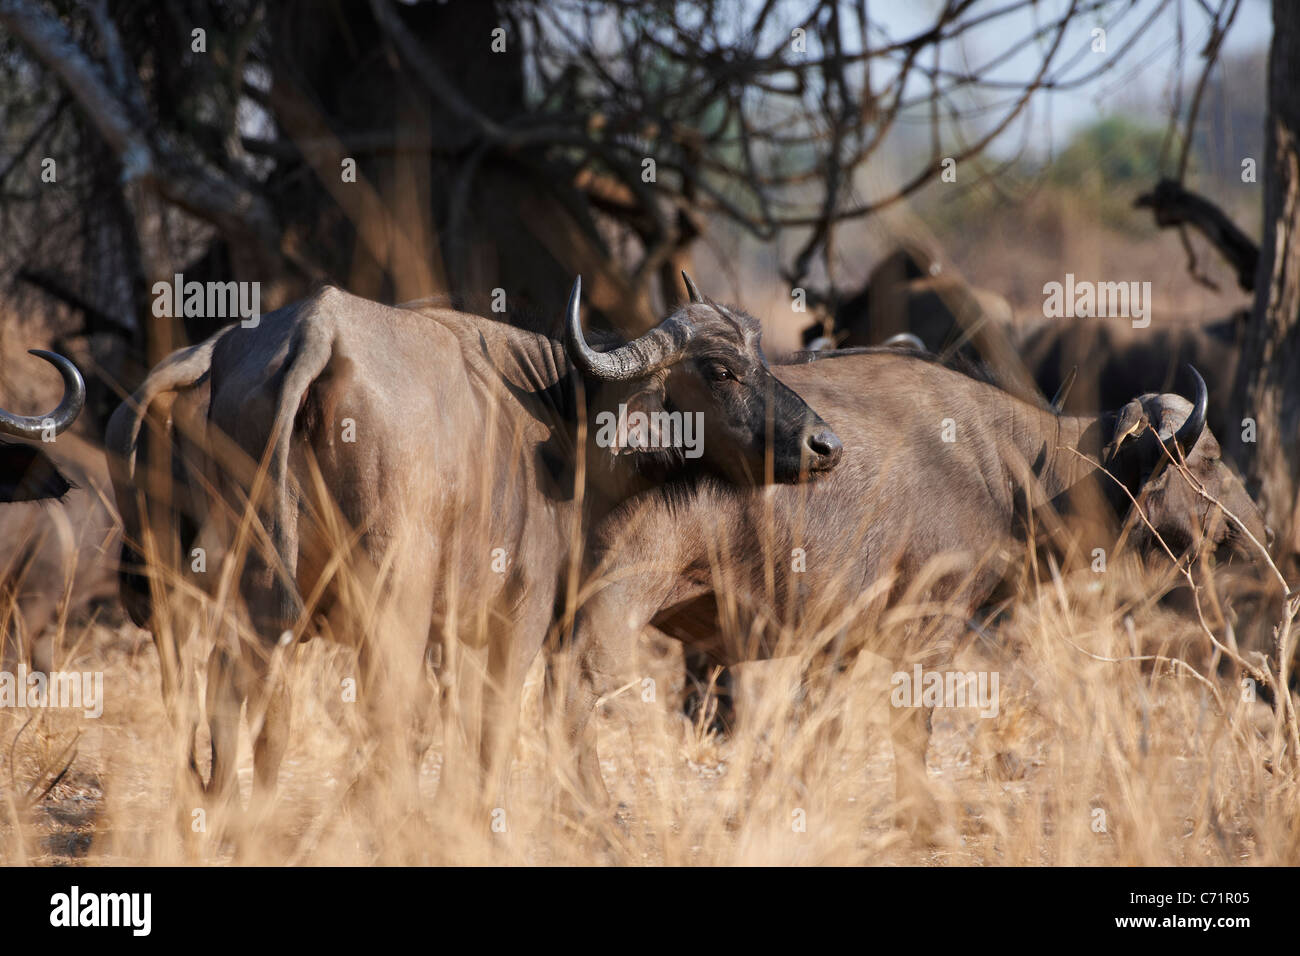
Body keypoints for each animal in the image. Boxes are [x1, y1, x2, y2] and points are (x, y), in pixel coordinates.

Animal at [109, 274, 842, 806]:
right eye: (720, 370)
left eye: (760, 358)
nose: (824, 445)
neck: (558, 423)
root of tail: (316, 334)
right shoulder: (516, 618)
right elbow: (490, 727)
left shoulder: (450, 628)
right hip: (387, 600)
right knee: (374, 703)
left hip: (235, 593)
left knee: (227, 688)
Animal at [561, 348, 1268, 842]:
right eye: (1207, 460)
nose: (1255, 525)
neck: (1011, 467)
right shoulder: (931, 629)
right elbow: (912, 727)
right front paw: (922, 819)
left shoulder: (837, 646)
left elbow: (820, 732)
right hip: (614, 605)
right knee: (572, 697)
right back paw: (591, 814)